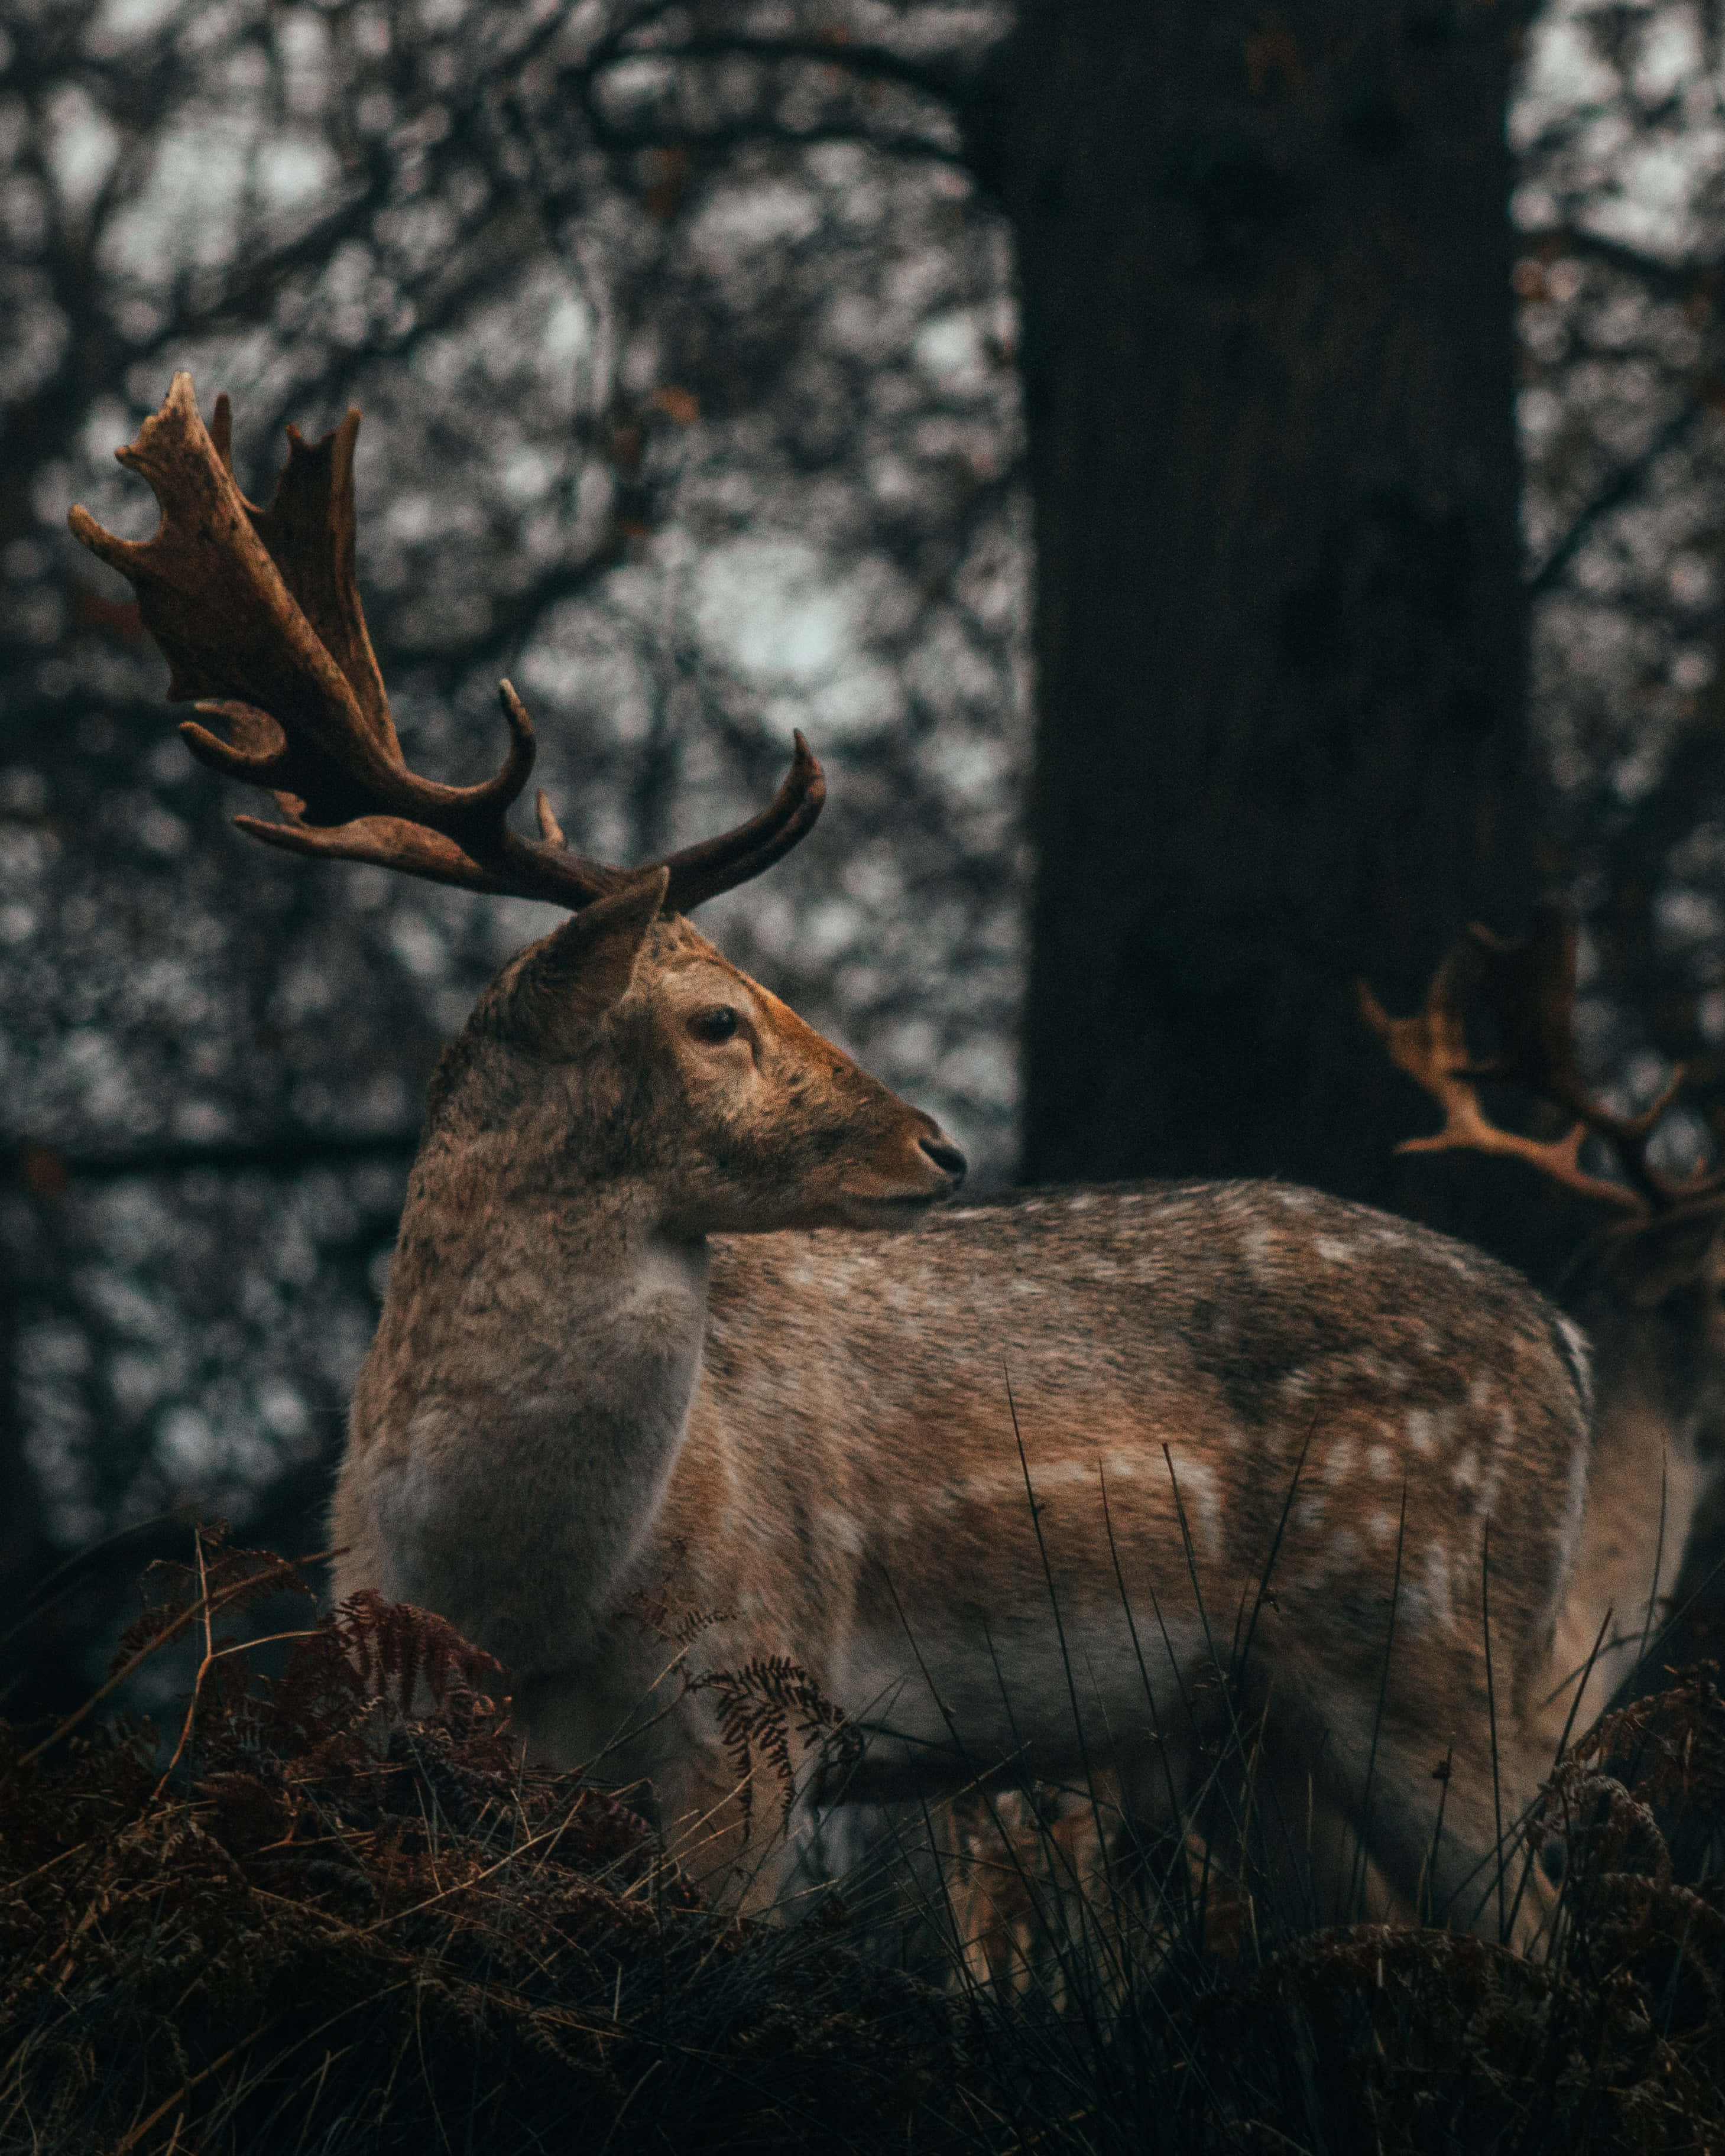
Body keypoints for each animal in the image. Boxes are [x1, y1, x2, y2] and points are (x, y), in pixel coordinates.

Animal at [77, 374, 1614, 1945]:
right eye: (715, 1017)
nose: (935, 1142)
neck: (510, 1598)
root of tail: (1562, 1345)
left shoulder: (754, 1707)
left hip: (1437, 1649)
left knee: (1540, 1928)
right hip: (1277, 1730)